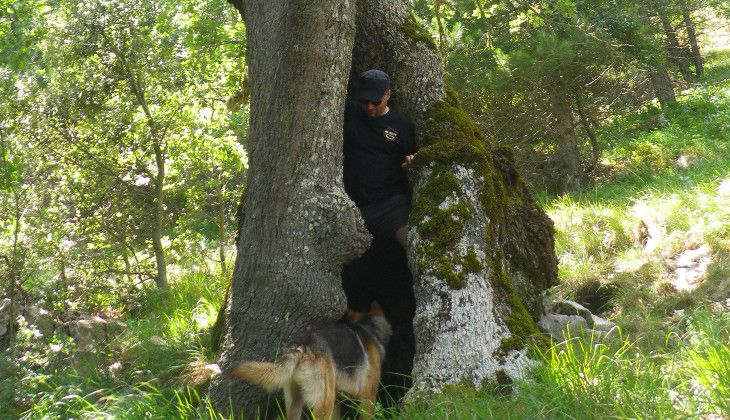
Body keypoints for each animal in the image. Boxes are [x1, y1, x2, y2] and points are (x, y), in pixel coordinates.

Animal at [232, 304, 392, 418]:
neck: (369, 328)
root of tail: (302, 342)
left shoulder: (338, 401)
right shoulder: (368, 397)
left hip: (295, 403)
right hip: (325, 402)